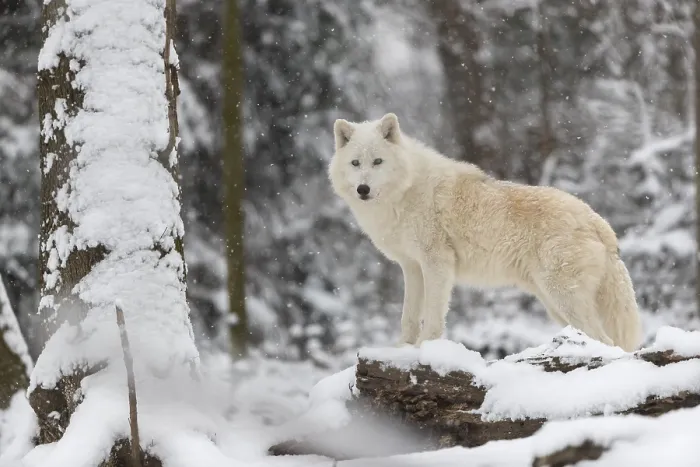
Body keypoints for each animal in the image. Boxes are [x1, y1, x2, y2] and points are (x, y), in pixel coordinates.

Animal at [328, 113, 642, 351]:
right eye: (355, 163)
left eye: (377, 162)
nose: (363, 189)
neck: (405, 192)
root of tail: (598, 221)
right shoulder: (412, 267)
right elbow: (409, 316)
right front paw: (403, 349)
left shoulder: (437, 263)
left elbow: (432, 317)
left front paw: (425, 350)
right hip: (554, 303)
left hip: (563, 297)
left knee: (607, 341)